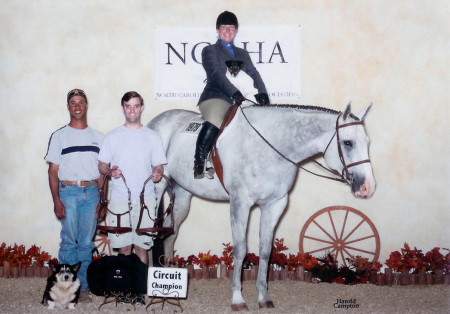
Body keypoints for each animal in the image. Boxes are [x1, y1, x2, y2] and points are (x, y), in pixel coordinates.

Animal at [147, 103, 372, 310]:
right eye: (348, 142)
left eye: (368, 142)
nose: (367, 188)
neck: (271, 148)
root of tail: (154, 122)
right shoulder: (240, 203)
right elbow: (240, 249)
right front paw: (238, 299)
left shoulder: (274, 205)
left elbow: (265, 250)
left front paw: (264, 297)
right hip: (156, 189)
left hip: (183, 195)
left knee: (171, 233)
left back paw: (170, 275)